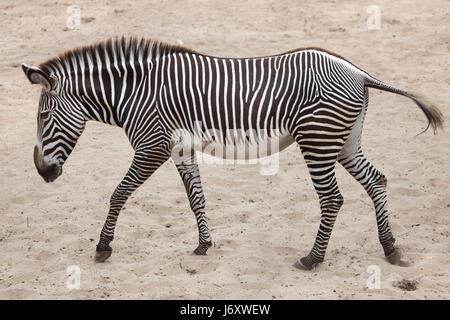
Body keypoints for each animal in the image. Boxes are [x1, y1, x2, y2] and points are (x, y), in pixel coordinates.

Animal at [22, 37, 442, 270]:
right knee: (377, 180)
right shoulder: (180, 147)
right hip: (344, 141)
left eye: (43, 116)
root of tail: (358, 72)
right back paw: (390, 248)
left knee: (332, 199)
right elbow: (196, 197)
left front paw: (103, 247)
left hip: (318, 140)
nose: (43, 173)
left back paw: (313, 258)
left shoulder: (152, 145)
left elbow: (119, 193)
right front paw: (204, 244)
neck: (134, 93)